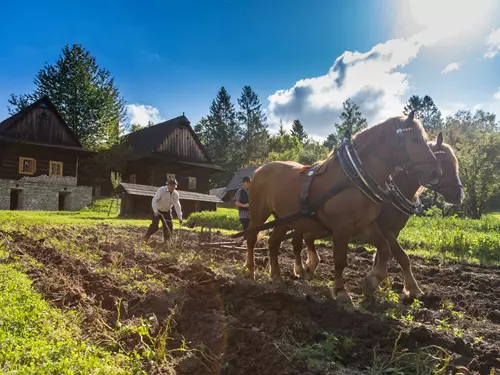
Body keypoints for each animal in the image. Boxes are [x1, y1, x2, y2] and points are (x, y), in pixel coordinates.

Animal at [244, 111, 440, 306]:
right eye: (414, 139)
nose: (435, 172)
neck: (354, 178)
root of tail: (260, 169)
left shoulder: (364, 226)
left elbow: (384, 248)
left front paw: (371, 281)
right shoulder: (342, 227)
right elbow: (340, 260)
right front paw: (341, 292)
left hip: (285, 219)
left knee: (273, 242)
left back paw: (277, 278)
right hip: (259, 212)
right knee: (252, 238)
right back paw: (250, 271)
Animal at [292, 133, 462, 300]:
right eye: (443, 161)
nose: (458, 195)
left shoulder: (393, 230)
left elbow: (380, 255)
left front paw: (374, 283)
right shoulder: (384, 228)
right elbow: (401, 256)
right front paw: (412, 288)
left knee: (308, 237)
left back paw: (310, 267)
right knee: (297, 242)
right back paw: (300, 270)